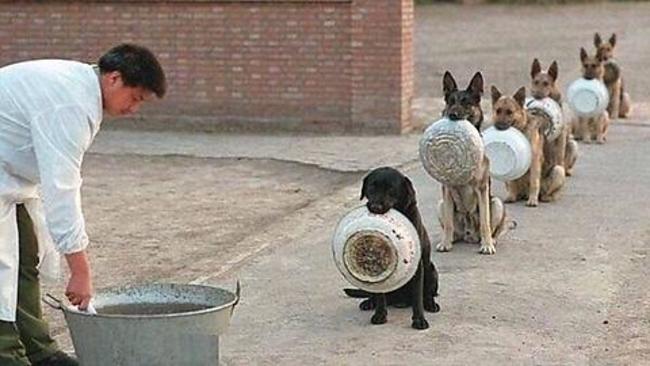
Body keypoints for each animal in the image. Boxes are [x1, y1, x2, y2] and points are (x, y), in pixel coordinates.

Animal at [342, 167, 438, 330]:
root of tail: (400, 301)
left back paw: (430, 304)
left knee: (427, 294)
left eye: (391, 189)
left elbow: (417, 297)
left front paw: (419, 320)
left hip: (431, 270)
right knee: (374, 295)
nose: (375, 207)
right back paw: (369, 302)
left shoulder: (417, 267)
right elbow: (380, 296)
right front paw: (380, 315)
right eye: (372, 187)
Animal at [436, 71, 506, 254]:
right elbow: (448, 222)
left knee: (492, 227)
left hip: (496, 203)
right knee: (451, 226)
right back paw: (451, 239)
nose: (452, 115)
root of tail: (468, 235)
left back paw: (490, 240)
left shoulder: (482, 188)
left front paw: (487, 245)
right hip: (441, 204)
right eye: (451, 102)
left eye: (466, 103)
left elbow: (485, 223)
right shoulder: (447, 189)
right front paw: (445, 243)